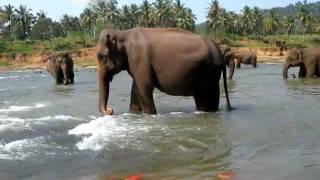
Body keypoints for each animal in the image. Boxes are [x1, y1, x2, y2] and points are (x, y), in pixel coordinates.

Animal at [95, 28, 232, 115]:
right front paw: (133, 114)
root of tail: (220, 52)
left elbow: (144, 87)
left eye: (101, 56)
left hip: (210, 72)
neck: (122, 33)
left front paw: (150, 115)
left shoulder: (139, 59)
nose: (110, 110)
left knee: (207, 97)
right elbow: (135, 89)